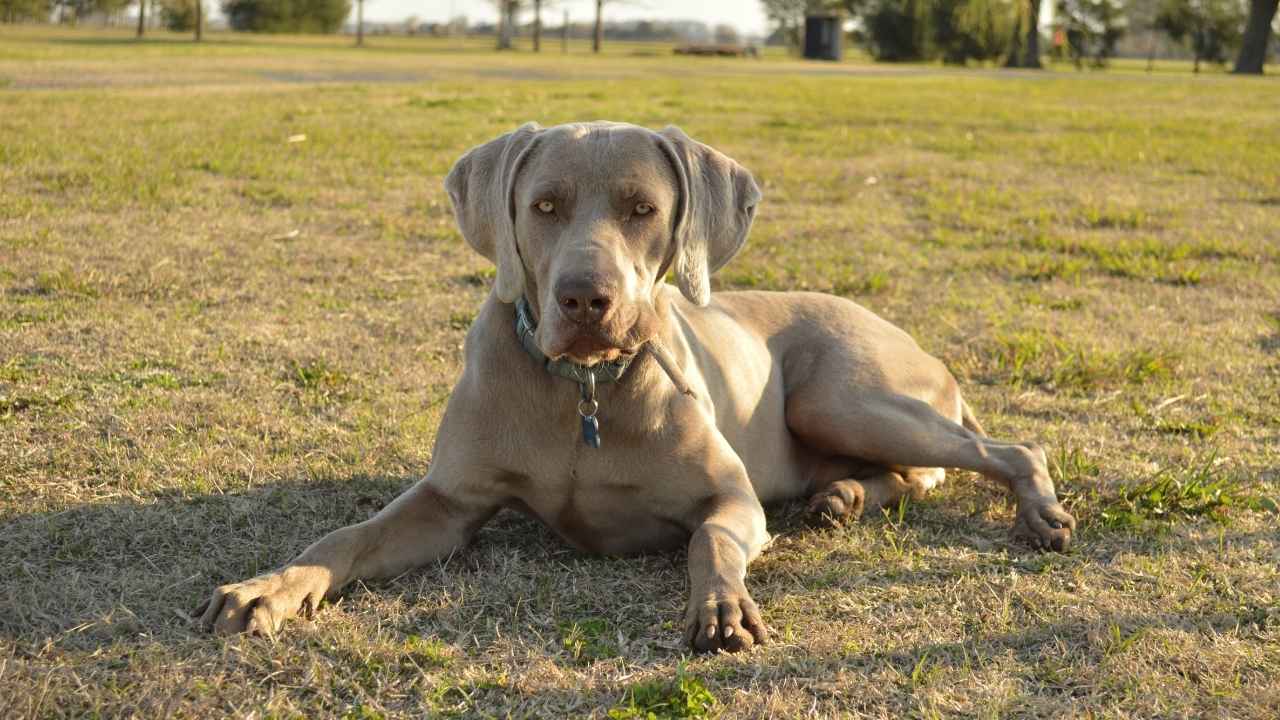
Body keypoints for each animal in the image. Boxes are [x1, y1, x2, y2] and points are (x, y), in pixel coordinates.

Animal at [199, 119, 1075, 650]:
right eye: (544, 205)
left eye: (643, 208)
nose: (586, 299)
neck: (583, 390)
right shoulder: (448, 503)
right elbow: (343, 538)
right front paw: (267, 590)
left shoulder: (730, 498)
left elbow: (709, 540)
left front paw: (721, 606)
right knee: (905, 475)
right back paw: (842, 498)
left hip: (840, 395)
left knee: (1006, 448)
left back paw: (1036, 512)